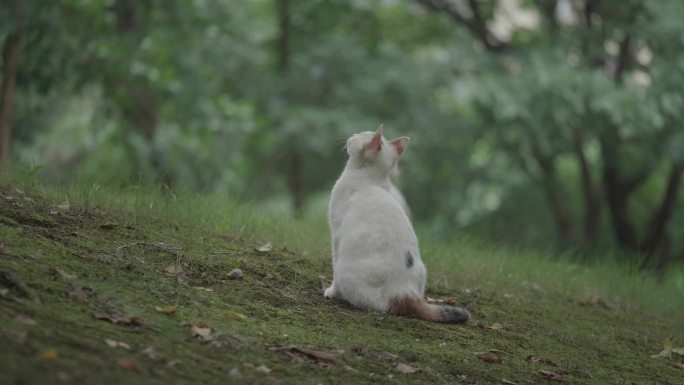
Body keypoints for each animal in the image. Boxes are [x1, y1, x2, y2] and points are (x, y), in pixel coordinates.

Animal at [326, 125, 470, 320]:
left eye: (361, 135)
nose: (352, 135)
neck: (372, 180)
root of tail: (405, 294)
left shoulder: (336, 235)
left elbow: (333, 267)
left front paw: (332, 292)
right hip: (423, 269)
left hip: (346, 269)